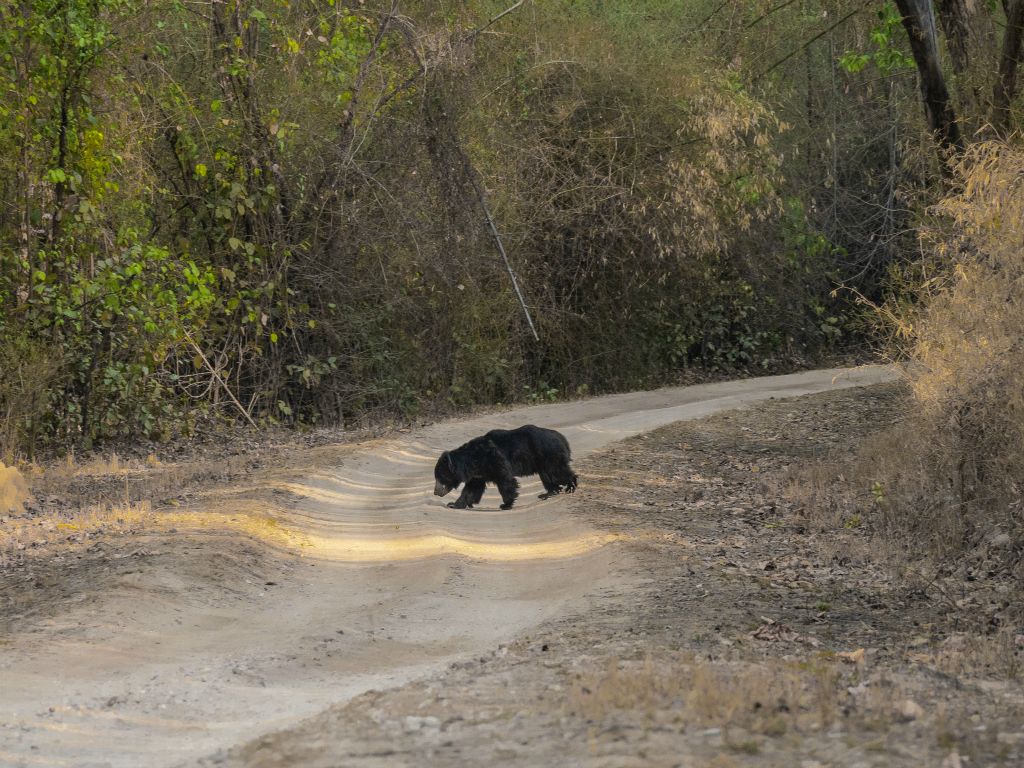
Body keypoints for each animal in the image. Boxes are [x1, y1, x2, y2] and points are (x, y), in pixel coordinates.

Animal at [432, 428, 577, 512]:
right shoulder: (479, 473)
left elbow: (505, 480)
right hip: (542, 461)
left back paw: (570, 486)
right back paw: (548, 493)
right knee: (548, 476)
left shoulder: (494, 459)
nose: (435, 492)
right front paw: (454, 504)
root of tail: (563, 439)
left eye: (439, 477)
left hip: (549, 454)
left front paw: (505, 504)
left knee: (558, 471)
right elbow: (471, 489)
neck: (473, 461)